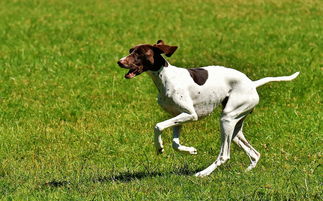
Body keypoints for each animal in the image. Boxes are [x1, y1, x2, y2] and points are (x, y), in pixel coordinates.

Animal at [117, 40, 300, 177]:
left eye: (139, 53)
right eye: (130, 50)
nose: (119, 62)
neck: (166, 77)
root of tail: (252, 84)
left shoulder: (191, 115)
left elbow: (158, 126)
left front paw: (159, 147)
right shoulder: (179, 117)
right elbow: (176, 144)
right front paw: (190, 150)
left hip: (226, 120)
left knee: (224, 155)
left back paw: (203, 173)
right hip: (235, 128)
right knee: (254, 154)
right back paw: (244, 172)